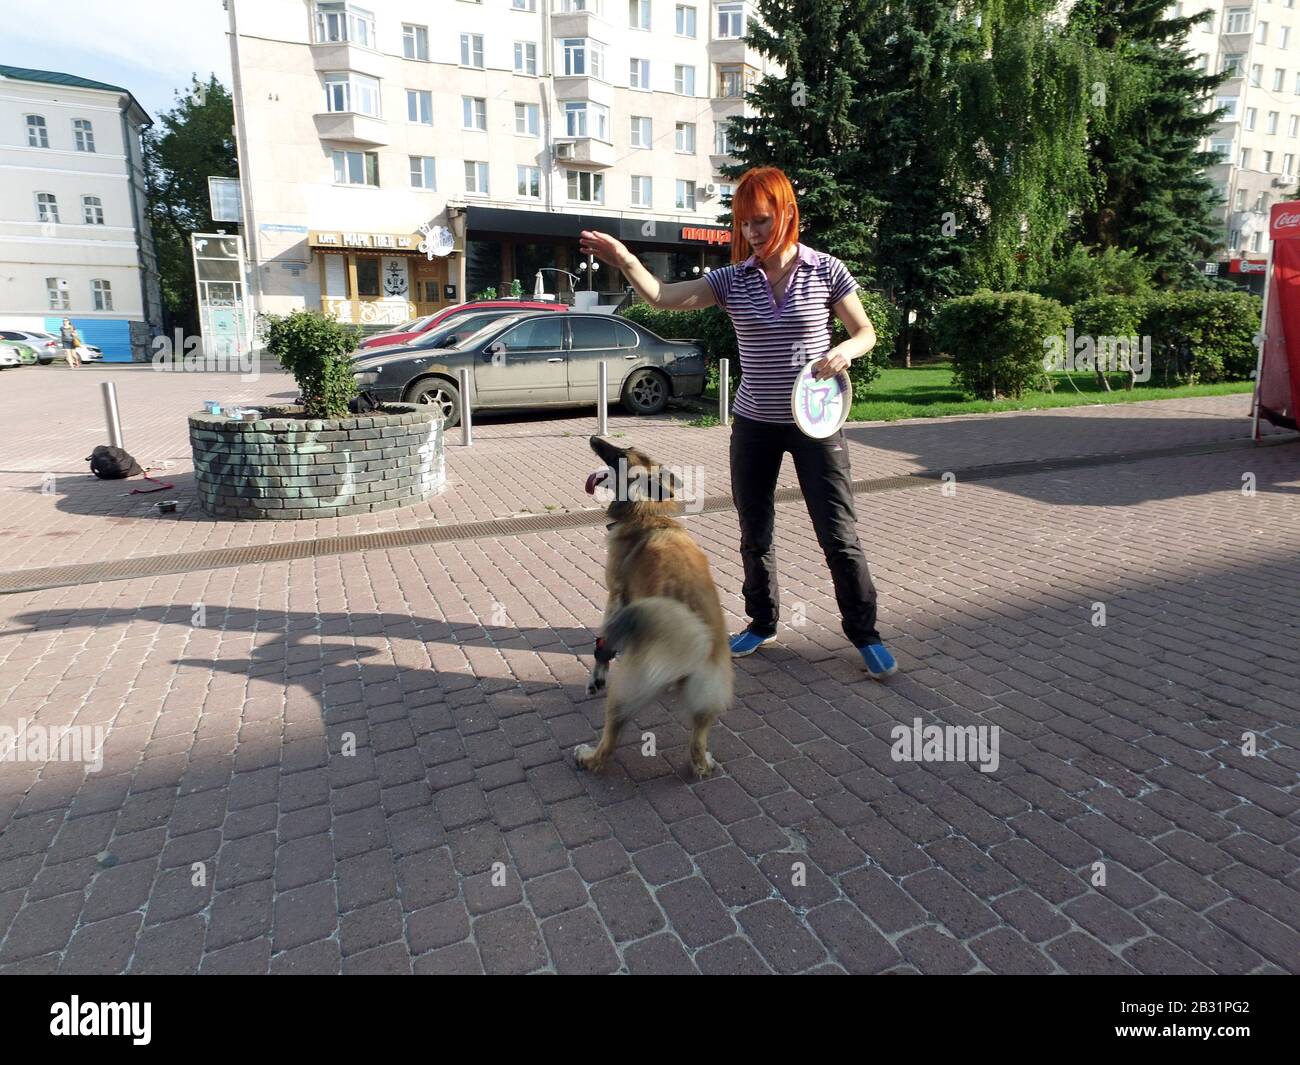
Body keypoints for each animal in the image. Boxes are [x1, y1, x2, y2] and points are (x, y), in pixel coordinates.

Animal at [577, 434, 733, 785]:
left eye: (621, 453)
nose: (593, 437)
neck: (647, 512)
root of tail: (698, 645)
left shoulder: (617, 595)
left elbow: (603, 644)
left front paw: (596, 675)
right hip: (706, 704)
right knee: (697, 749)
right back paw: (704, 762)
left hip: (624, 691)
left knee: (609, 742)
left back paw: (588, 757)